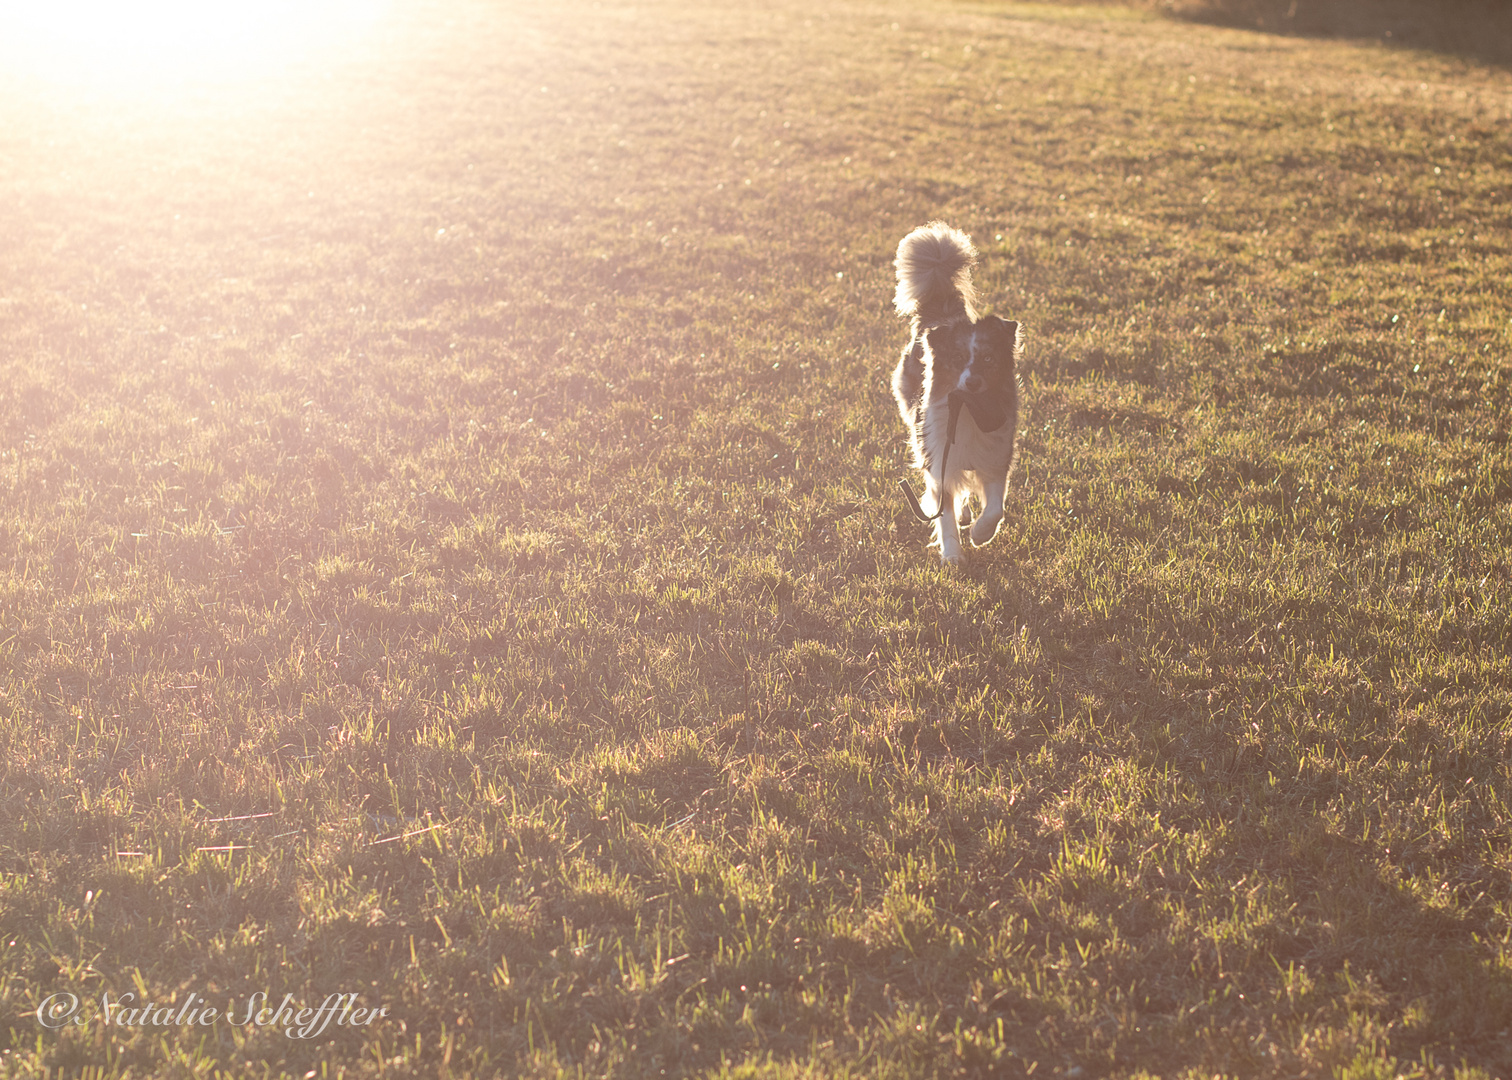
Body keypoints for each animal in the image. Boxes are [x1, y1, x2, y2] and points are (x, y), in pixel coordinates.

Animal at [889, 223, 1022, 568]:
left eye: (988, 359)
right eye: (959, 358)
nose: (972, 383)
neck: (968, 412)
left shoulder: (996, 456)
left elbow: (996, 508)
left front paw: (980, 534)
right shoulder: (938, 460)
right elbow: (943, 511)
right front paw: (952, 554)